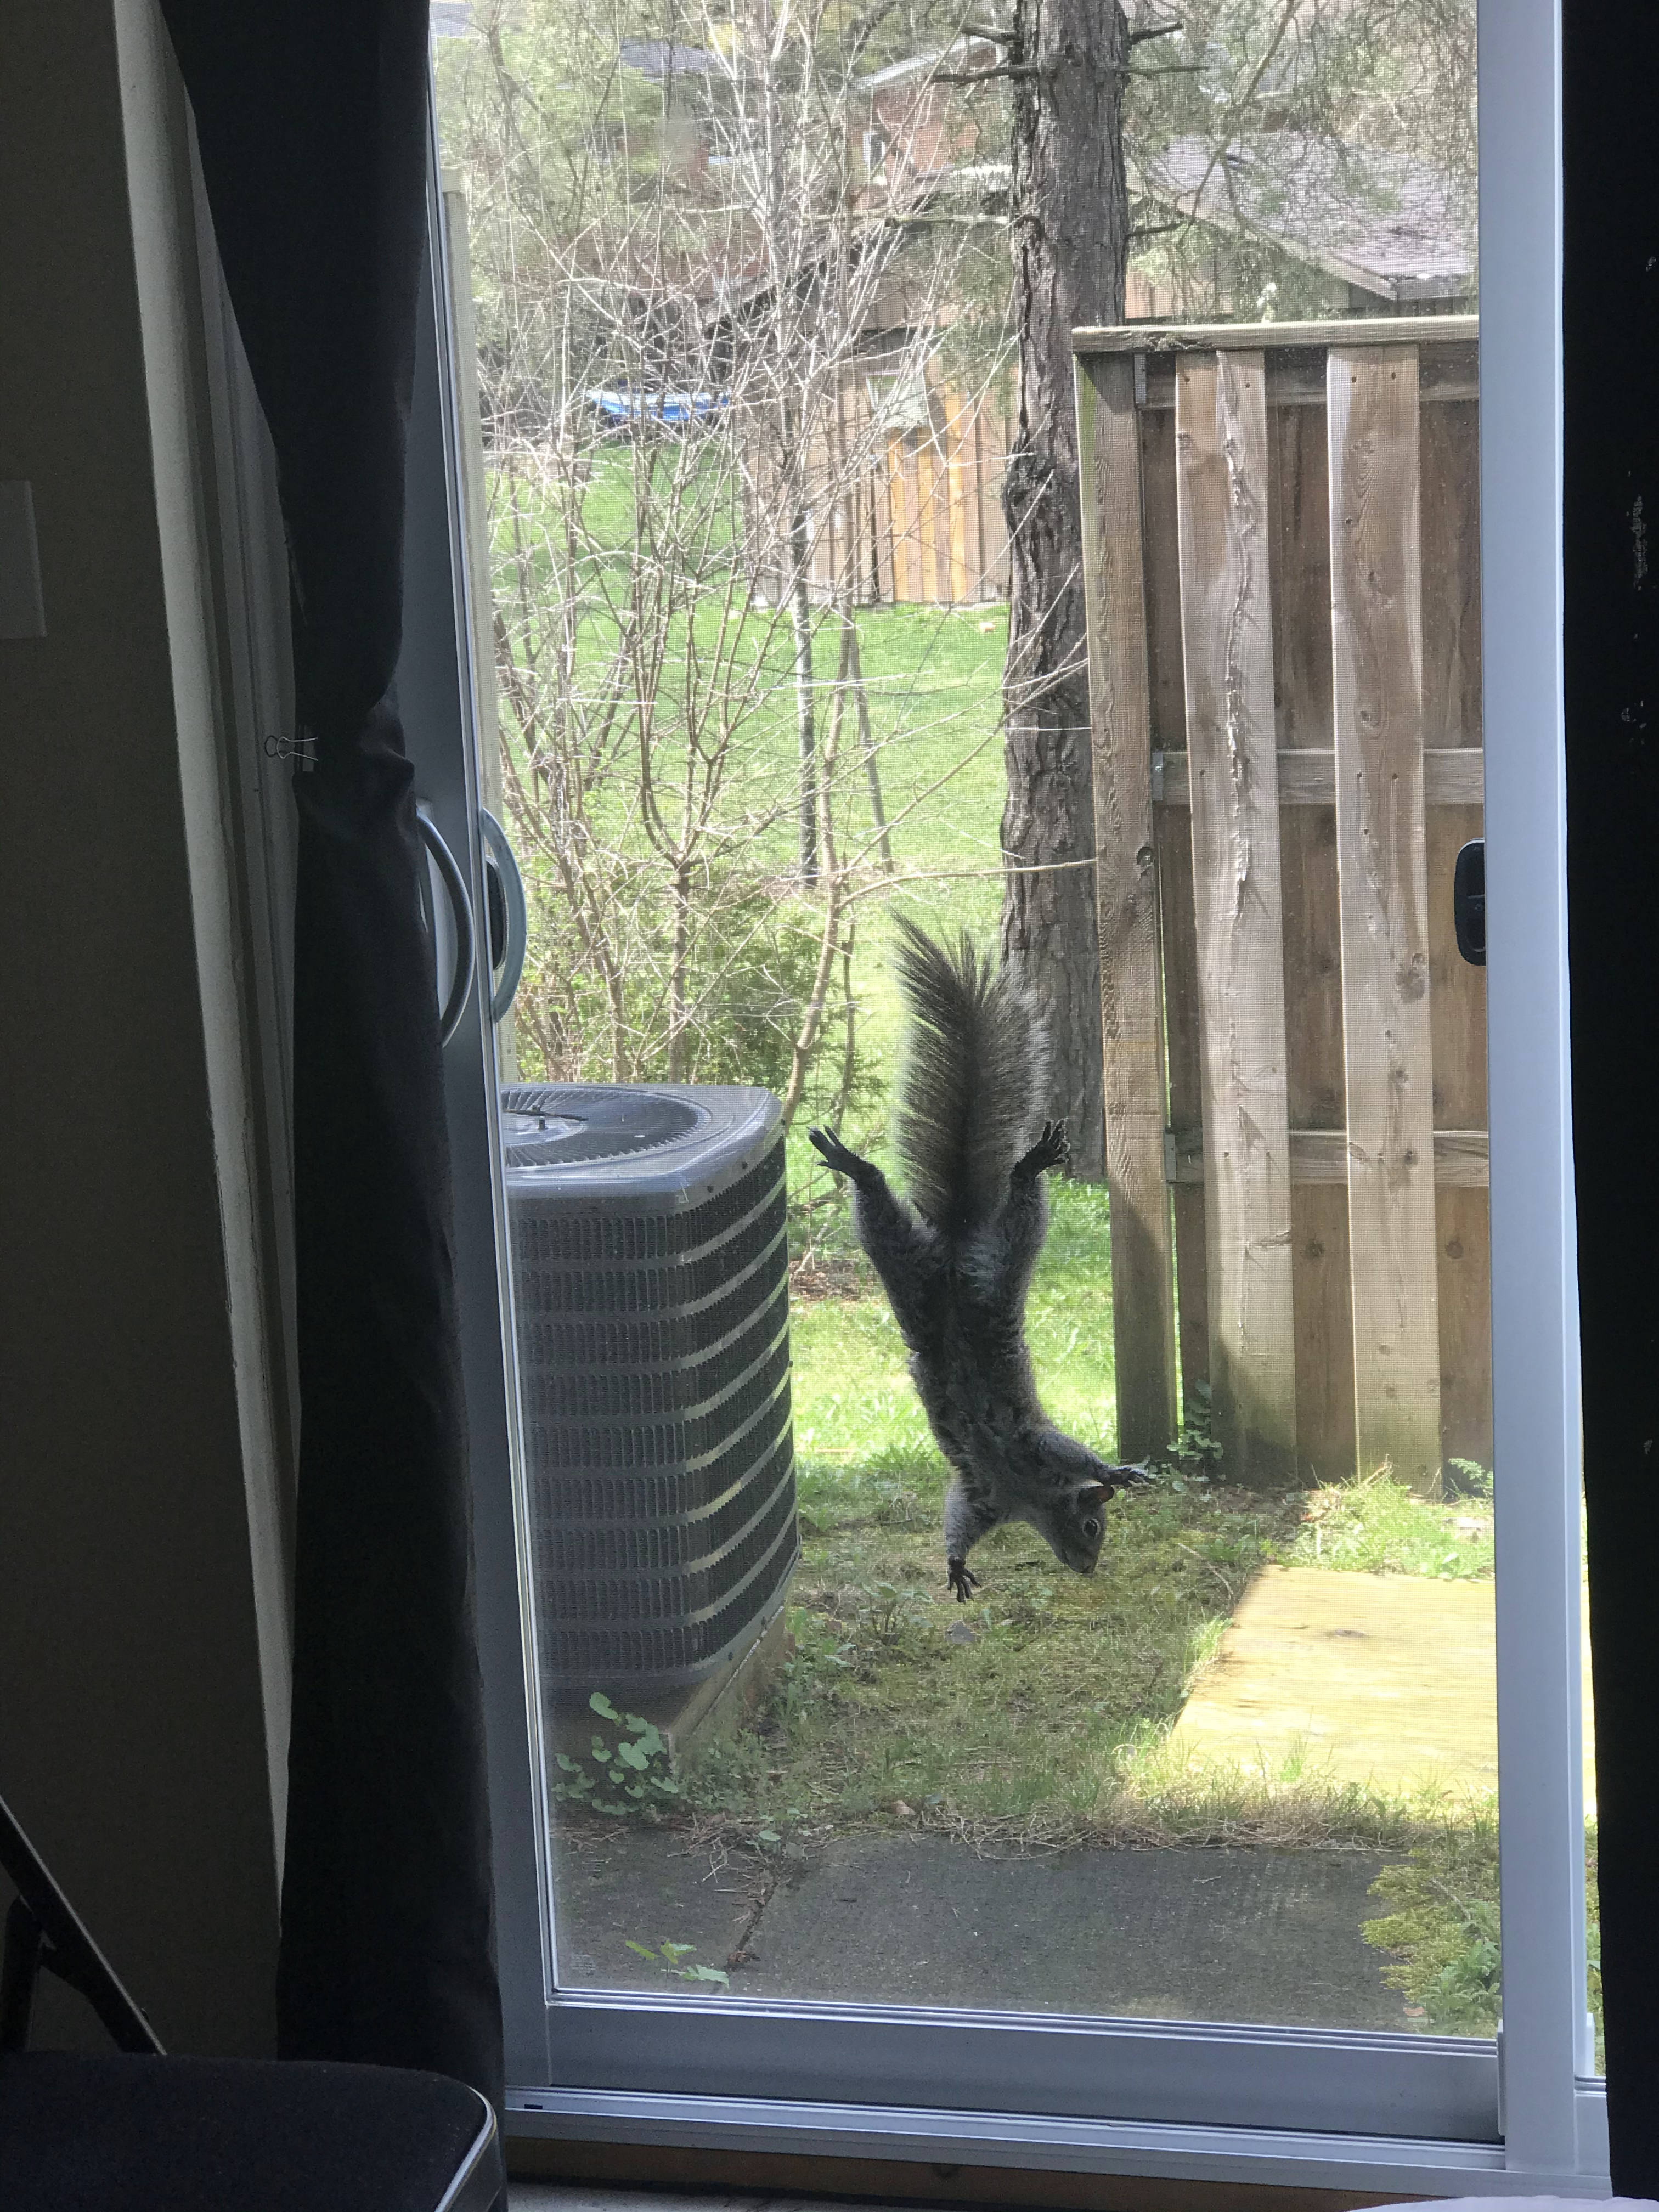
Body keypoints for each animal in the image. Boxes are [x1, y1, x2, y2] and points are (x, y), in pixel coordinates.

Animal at [809, 915, 1146, 1602]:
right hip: (1001, 1253)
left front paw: (958, 1562)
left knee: (883, 1217)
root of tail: (956, 1247)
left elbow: (960, 1516)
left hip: (906, 1265)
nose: (1088, 1567)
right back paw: (1018, 1165)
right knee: (1016, 1203)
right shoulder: (1028, 1451)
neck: (1028, 1496)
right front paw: (1114, 1470)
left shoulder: (987, 1490)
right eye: (1093, 1527)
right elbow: (1069, 1456)